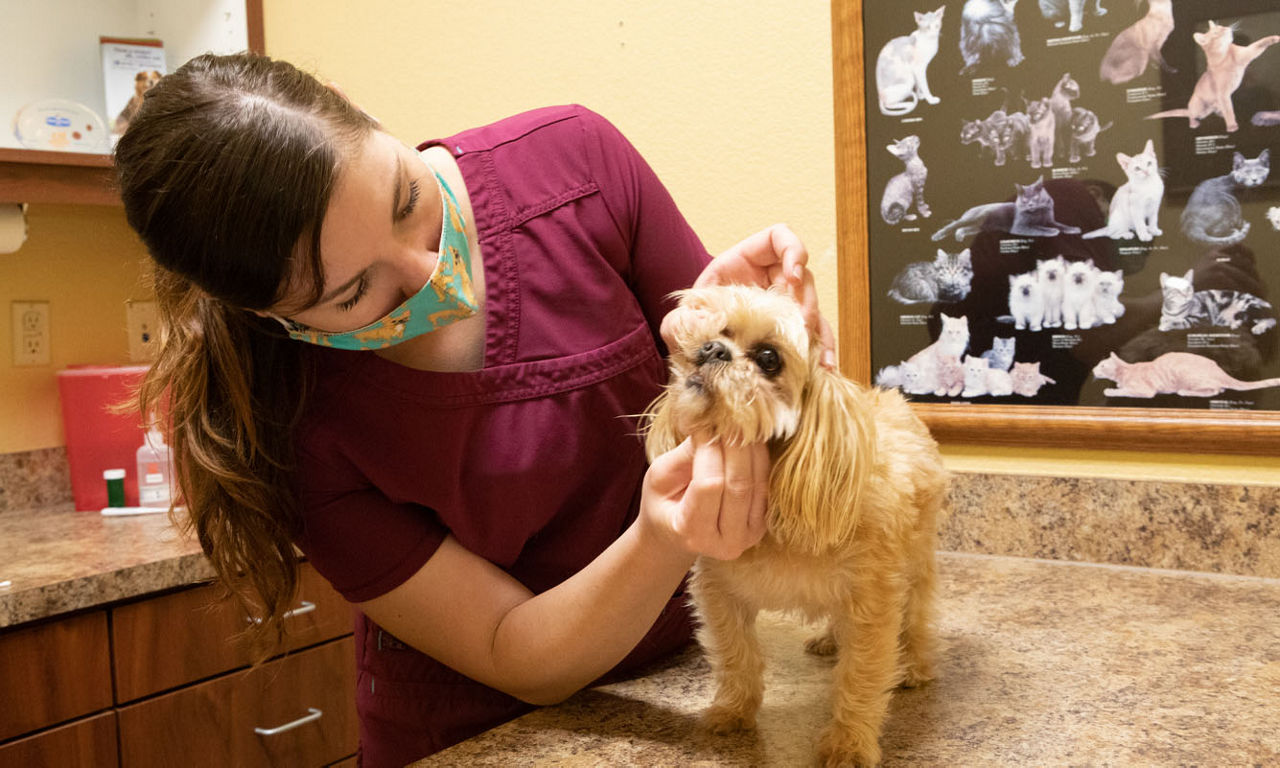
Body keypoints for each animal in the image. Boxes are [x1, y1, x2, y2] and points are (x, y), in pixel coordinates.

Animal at [645, 285, 947, 762]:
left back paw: (915, 665)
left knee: (917, 614)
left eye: (769, 358)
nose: (710, 349)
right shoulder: (719, 591)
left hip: (916, 562)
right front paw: (733, 710)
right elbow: (736, 656)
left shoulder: (873, 601)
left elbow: (862, 676)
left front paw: (849, 742)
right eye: (719, 330)